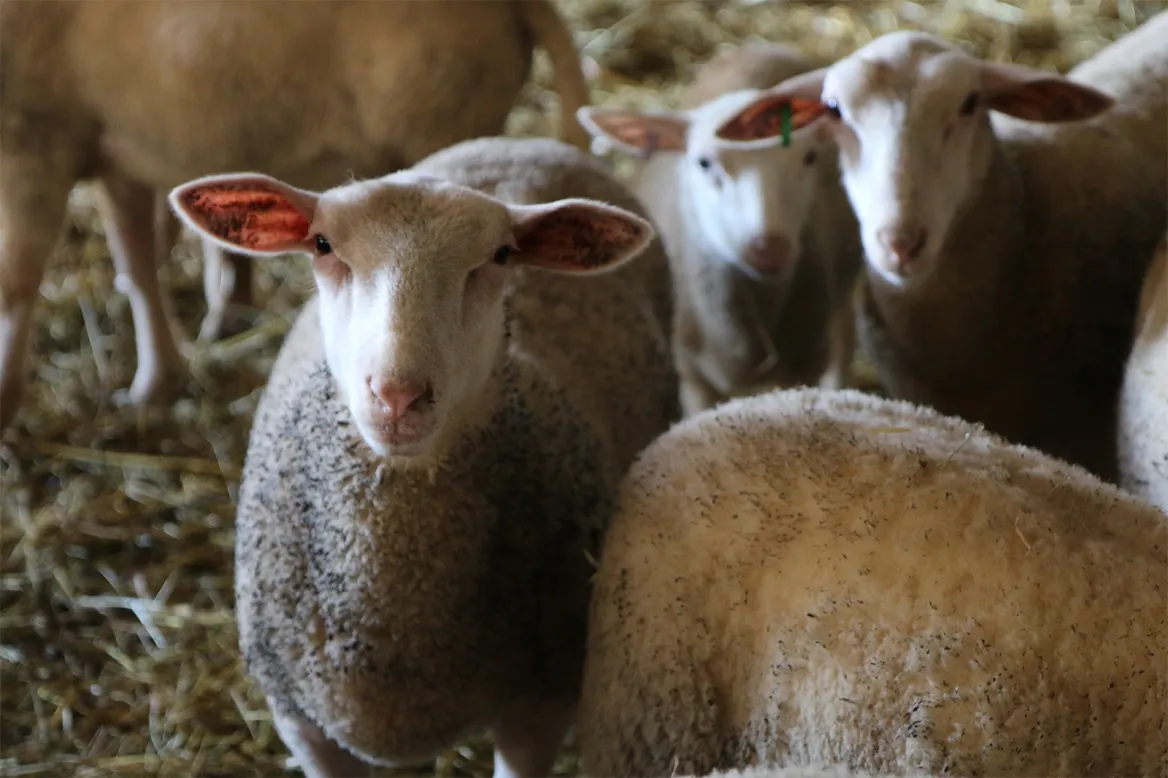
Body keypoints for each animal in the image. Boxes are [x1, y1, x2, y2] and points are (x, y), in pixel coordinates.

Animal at [0, 0, 591, 431]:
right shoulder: (112, 147)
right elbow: (137, 263)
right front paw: (158, 379)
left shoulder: (35, 135)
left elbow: (17, 282)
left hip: (443, 122)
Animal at [166, 136, 679, 778]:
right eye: (322, 244)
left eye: (502, 254)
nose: (397, 395)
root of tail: (521, 142)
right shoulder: (301, 721)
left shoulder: (540, 703)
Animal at [576, 42, 862, 418]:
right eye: (704, 163)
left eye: (810, 158)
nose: (769, 248)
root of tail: (758, 47)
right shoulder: (689, 375)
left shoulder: (807, 360)